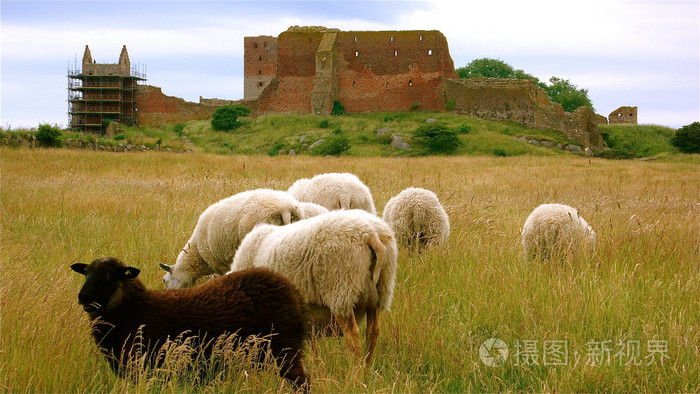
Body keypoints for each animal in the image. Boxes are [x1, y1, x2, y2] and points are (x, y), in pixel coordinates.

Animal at [71, 258, 308, 390]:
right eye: (86, 273)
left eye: (108, 276)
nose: (82, 298)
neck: (137, 310)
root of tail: (291, 289)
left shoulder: (143, 365)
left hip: (284, 349)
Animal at [228, 208, 394, 364]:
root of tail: (371, 234)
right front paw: (317, 364)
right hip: (380, 292)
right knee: (373, 333)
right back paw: (367, 369)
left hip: (342, 290)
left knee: (352, 336)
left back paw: (356, 372)